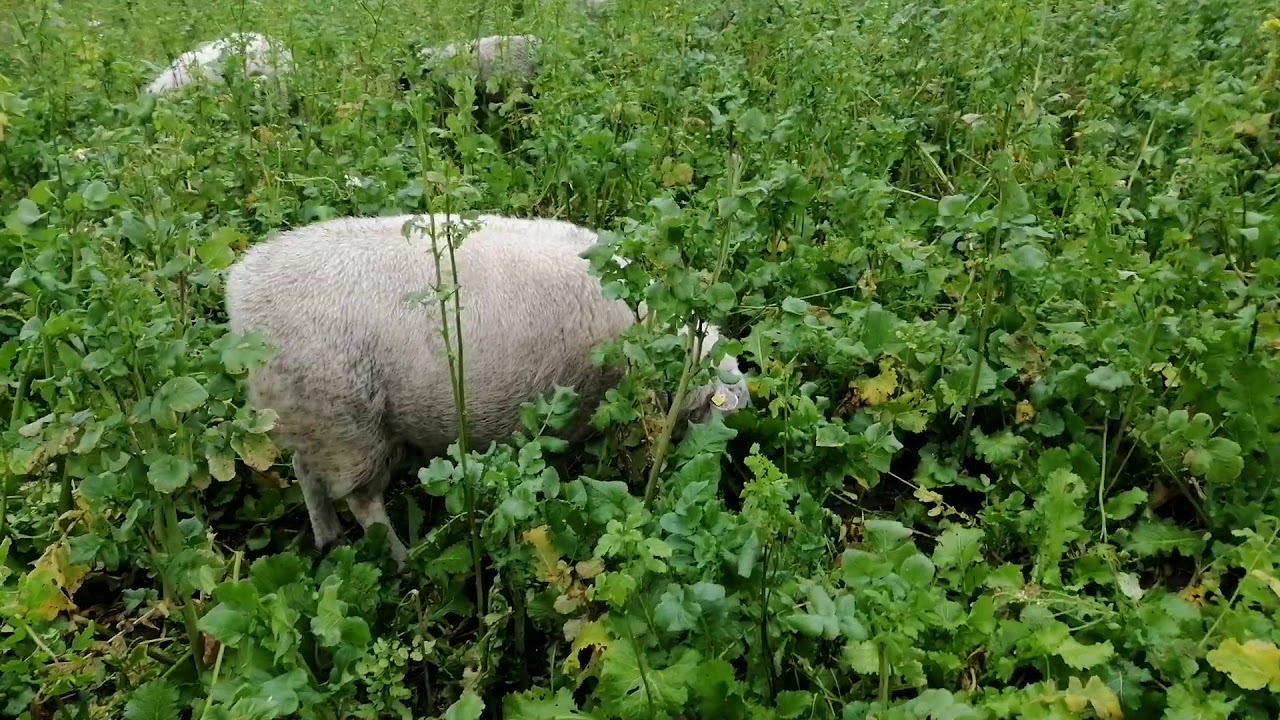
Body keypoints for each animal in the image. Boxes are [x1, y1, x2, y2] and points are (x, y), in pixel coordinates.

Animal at [224, 213, 751, 568]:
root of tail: (241, 293)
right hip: (347, 423)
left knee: (306, 472)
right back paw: (403, 560)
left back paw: (328, 541)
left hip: (306, 414)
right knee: (362, 500)